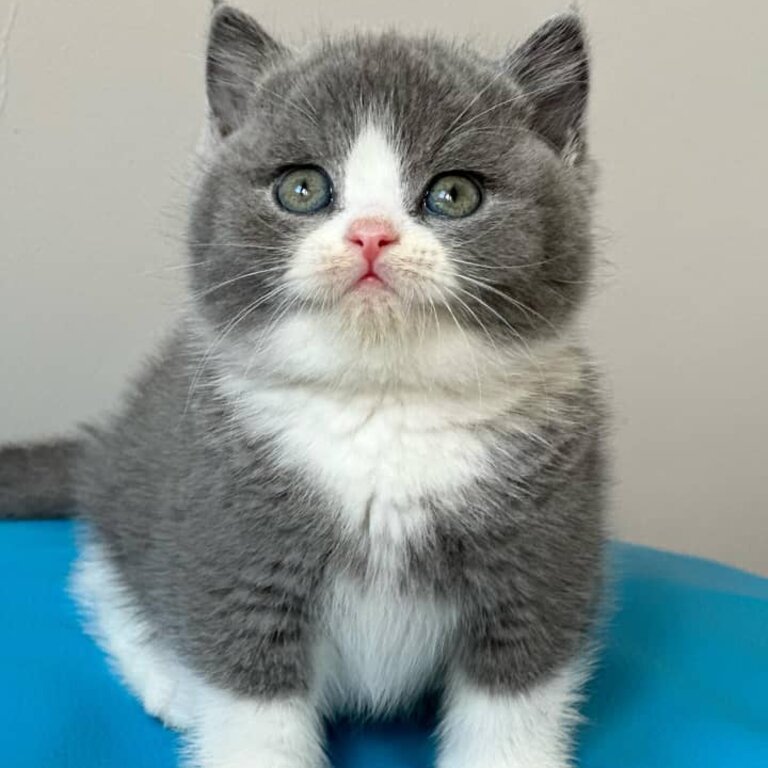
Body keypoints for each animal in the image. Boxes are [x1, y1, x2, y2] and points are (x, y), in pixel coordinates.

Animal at [0, 6, 608, 768]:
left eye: (454, 194)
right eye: (302, 189)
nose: (371, 236)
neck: (383, 407)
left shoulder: (538, 565)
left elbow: (512, 706)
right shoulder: (234, 546)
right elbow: (250, 708)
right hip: (137, 491)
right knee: (105, 572)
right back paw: (168, 679)